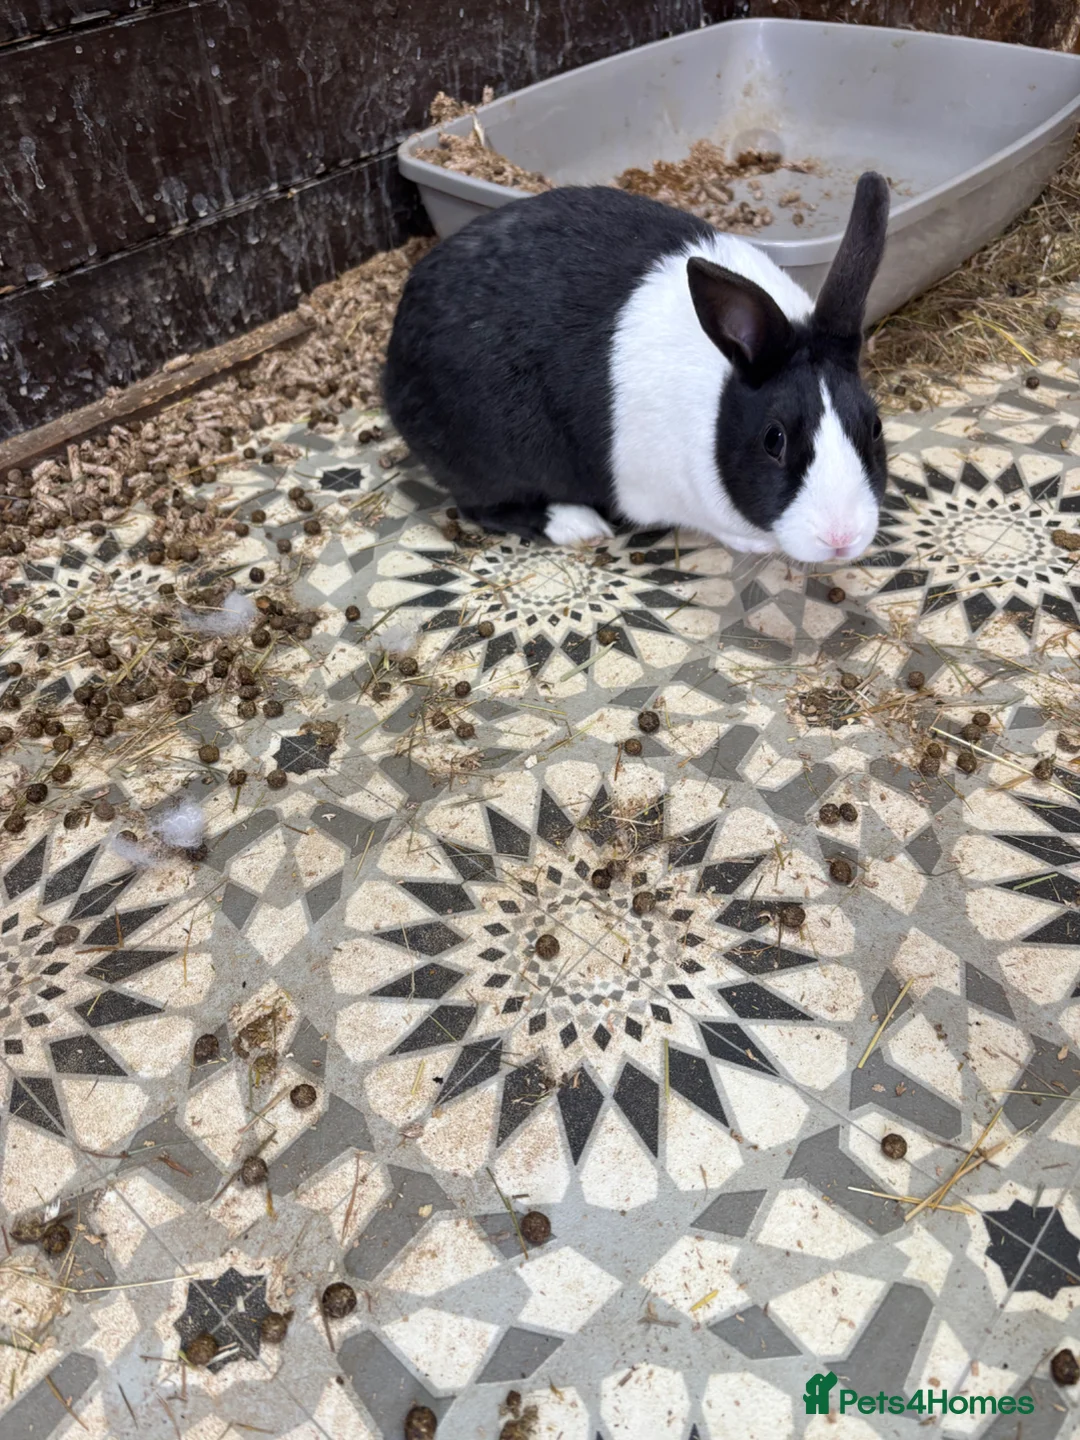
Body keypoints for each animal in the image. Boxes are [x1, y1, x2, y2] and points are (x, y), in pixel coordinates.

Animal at [383, 171, 890, 565]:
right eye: (774, 440)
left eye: (876, 427)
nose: (841, 537)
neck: (719, 405)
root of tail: (393, 367)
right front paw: (755, 545)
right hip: (491, 456)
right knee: (481, 507)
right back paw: (576, 524)